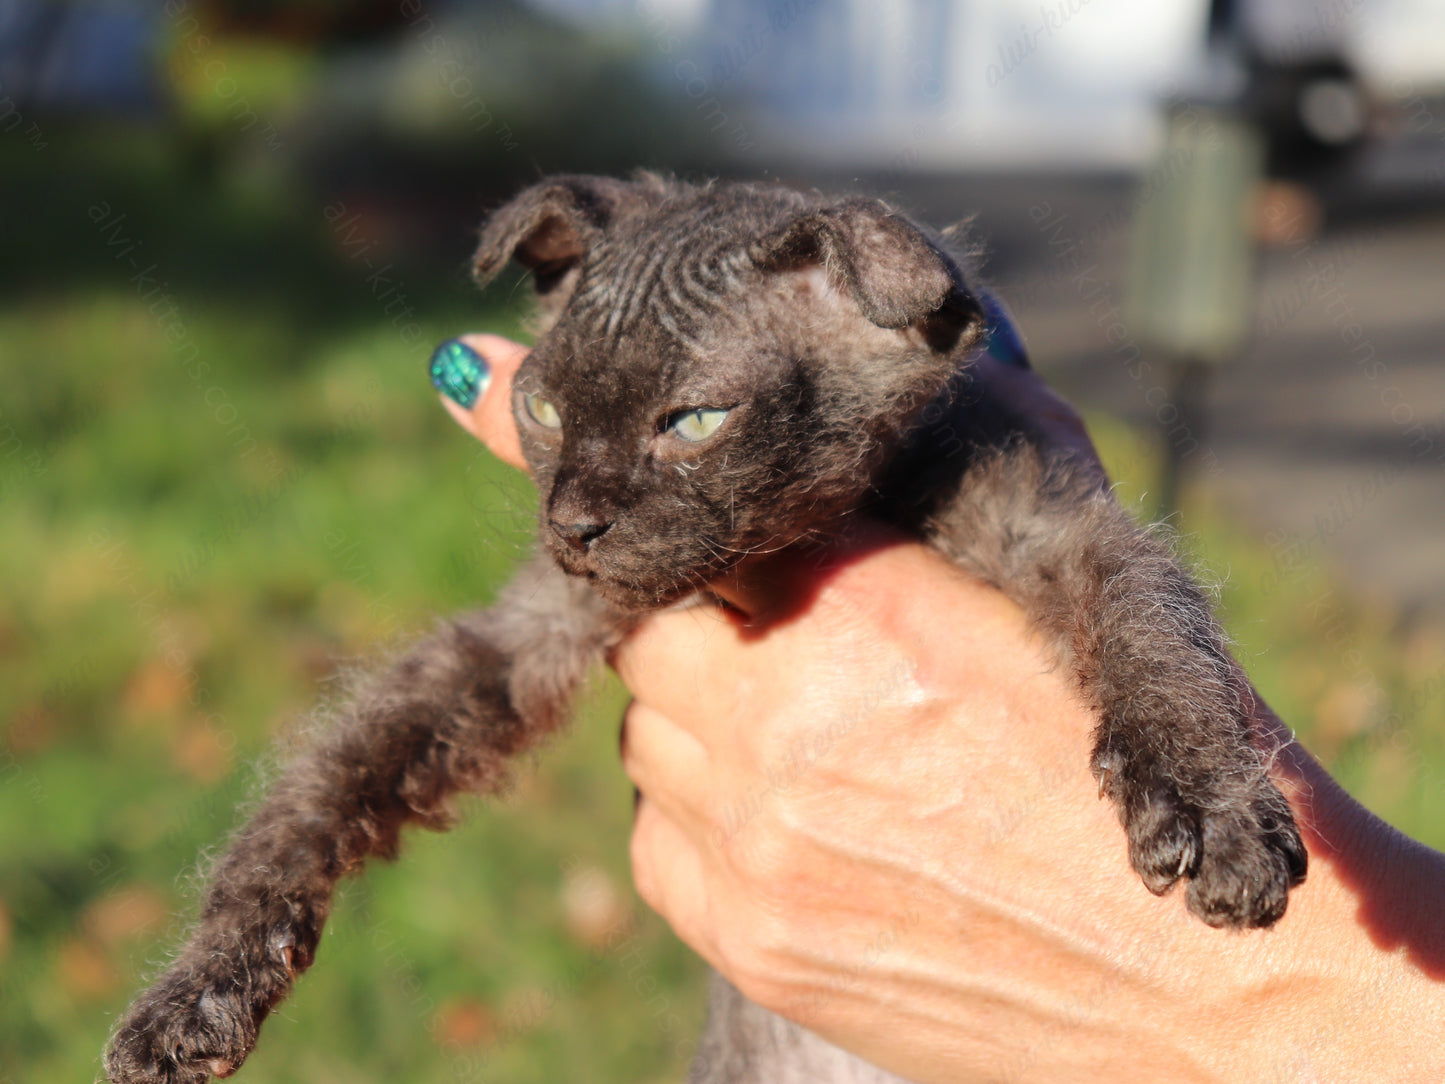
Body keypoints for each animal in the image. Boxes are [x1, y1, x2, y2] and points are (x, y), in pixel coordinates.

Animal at [106, 174, 1306, 1084]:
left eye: (691, 423)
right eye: (543, 410)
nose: (573, 523)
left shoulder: (1053, 522)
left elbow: (1152, 624)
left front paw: (1207, 798)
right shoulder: (529, 631)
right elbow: (322, 782)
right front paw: (200, 983)